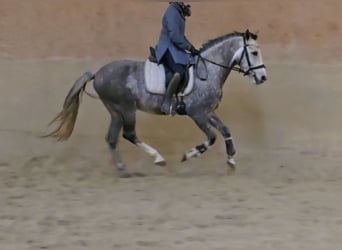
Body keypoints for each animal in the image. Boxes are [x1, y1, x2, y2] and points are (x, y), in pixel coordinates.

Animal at [46, 30, 268, 177]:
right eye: (254, 53)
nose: (262, 77)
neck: (208, 72)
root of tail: (97, 73)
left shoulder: (208, 111)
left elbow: (225, 130)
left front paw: (231, 159)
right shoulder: (197, 113)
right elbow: (212, 137)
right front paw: (189, 154)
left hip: (115, 111)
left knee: (112, 138)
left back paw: (123, 169)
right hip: (127, 108)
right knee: (129, 134)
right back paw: (157, 158)